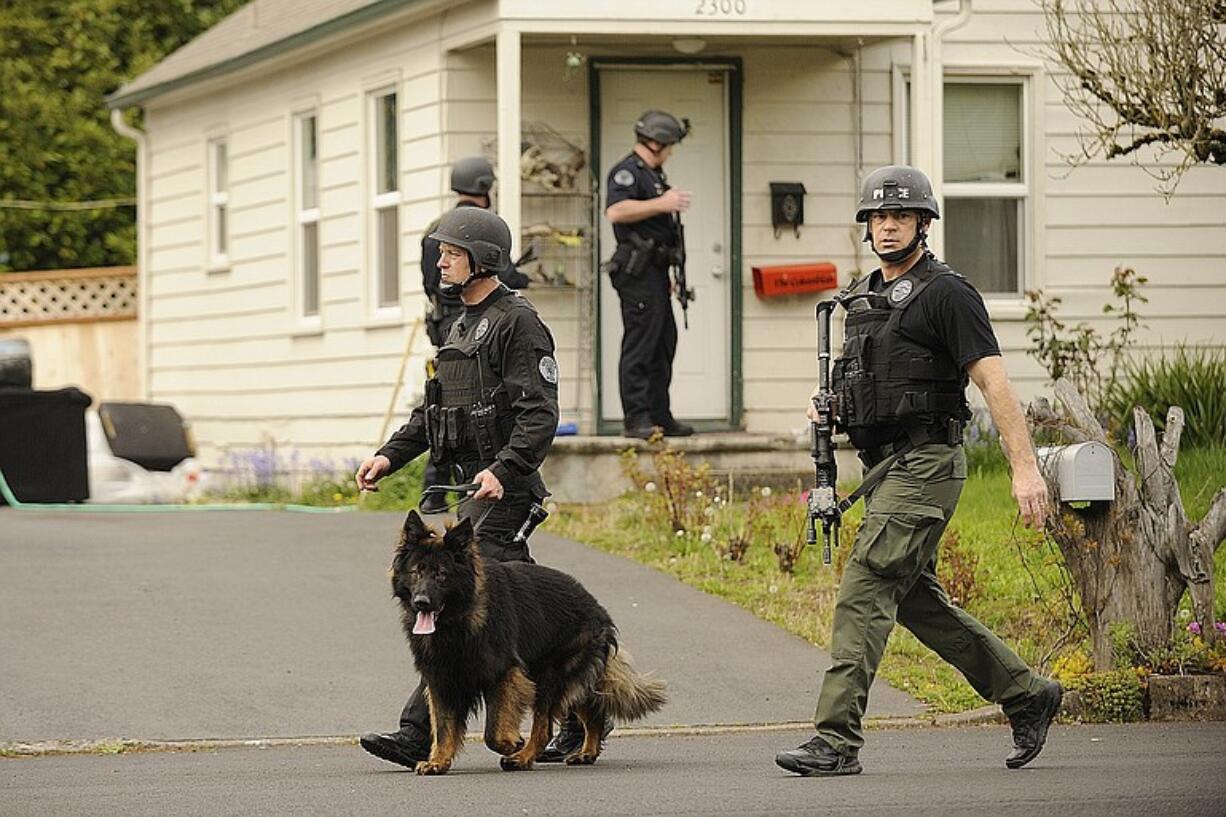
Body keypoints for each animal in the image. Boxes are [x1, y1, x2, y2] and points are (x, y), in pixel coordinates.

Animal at [389, 510, 666, 770]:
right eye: (416, 573)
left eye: (442, 575)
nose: (421, 602)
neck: (460, 619)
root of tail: (597, 608)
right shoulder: (441, 680)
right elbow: (444, 727)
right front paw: (438, 761)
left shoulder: (504, 675)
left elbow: (493, 731)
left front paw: (511, 744)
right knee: (590, 712)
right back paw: (586, 752)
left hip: (549, 678)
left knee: (545, 728)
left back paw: (522, 757)